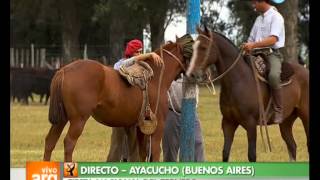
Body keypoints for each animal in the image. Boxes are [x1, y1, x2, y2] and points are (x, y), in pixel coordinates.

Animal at [42, 35, 192, 162]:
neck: (155, 78)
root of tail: (63, 70)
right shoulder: (158, 125)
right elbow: (154, 152)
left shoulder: (137, 126)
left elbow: (140, 153)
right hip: (78, 119)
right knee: (69, 143)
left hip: (61, 119)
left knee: (50, 141)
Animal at [186, 27, 308, 162]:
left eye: (203, 47)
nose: (191, 74)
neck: (239, 80)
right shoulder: (228, 123)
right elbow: (225, 153)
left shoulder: (250, 124)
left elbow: (252, 155)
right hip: (286, 121)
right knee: (292, 145)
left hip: (305, 116)